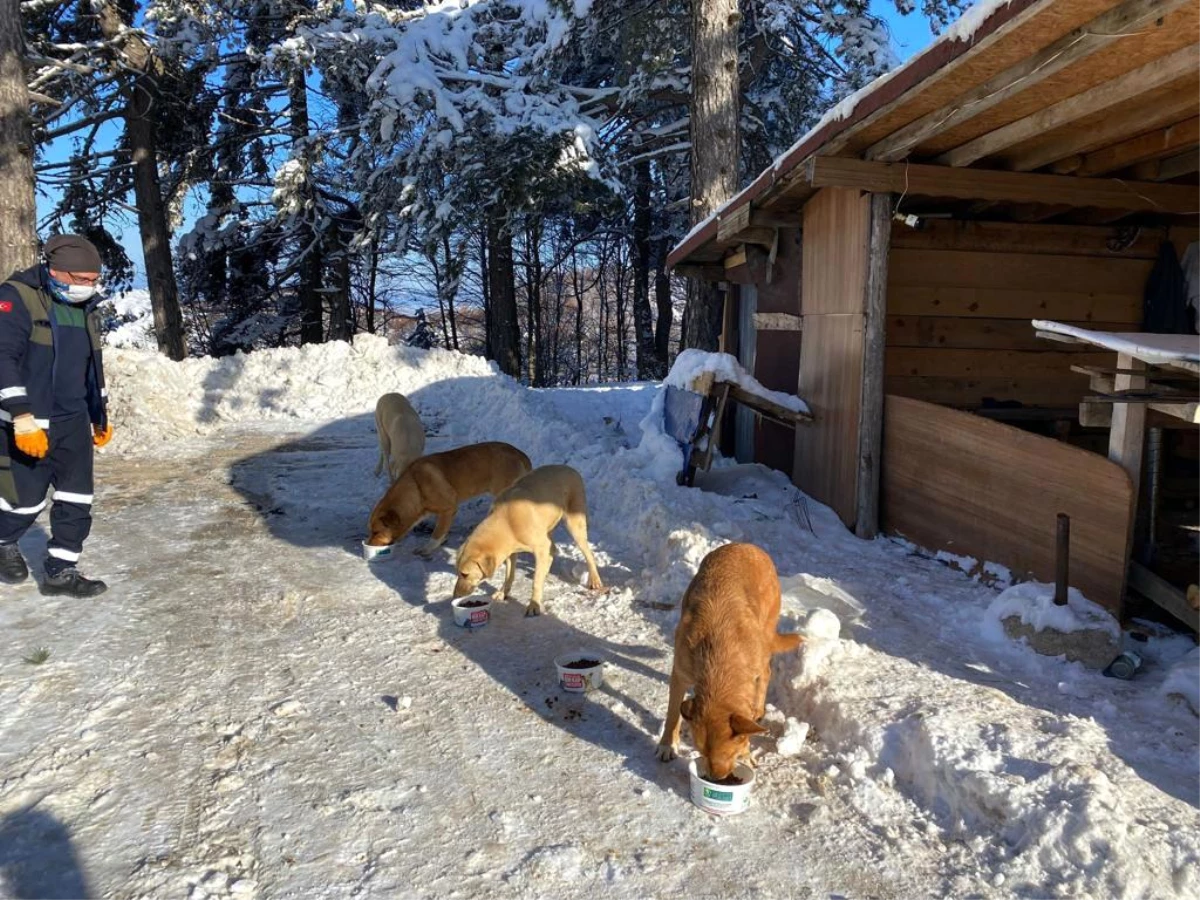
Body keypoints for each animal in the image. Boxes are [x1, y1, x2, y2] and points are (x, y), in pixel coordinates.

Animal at [364, 441, 530, 561]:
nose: (369, 544)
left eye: (376, 531)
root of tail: (521, 455)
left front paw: (426, 549)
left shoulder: (448, 509)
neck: (416, 487)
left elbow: (437, 534)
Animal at [451, 465, 604, 619]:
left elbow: (536, 582)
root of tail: (570, 468)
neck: (506, 522)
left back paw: (595, 579)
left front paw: (534, 605)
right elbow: (509, 575)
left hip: (574, 526)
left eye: (465, 574)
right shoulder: (511, 552)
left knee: (588, 554)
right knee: (552, 550)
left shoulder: (540, 548)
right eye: (457, 572)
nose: (455, 596)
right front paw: (503, 592)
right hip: (547, 529)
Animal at [662, 542, 801, 782]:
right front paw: (667, 745)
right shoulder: (680, 673)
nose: (716, 780)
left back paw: (759, 708)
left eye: (730, 753)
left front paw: (746, 753)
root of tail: (746, 545)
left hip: (765, 634)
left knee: (766, 672)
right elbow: (672, 713)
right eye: (701, 752)